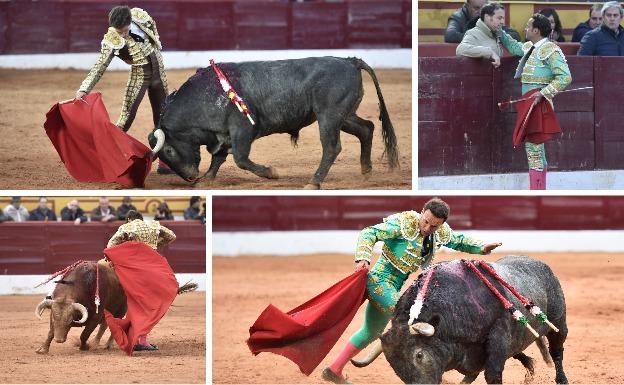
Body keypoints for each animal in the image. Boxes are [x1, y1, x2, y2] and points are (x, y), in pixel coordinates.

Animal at [149, 56, 398, 189]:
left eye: (169, 150)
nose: (191, 177)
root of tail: (350, 61)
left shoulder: (241, 130)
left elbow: (240, 159)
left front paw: (271, 172)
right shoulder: (223, 135)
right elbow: (218, 158)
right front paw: (206, 180)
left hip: (329, 116)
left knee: (332, 146)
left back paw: (314, 182)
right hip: (343, 116)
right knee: (367, 128)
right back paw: (366, 170)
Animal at [348, 256, 568, 382]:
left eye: (419, 355)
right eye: (392, 363)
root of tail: (542, 265)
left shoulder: (498, 336)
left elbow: (492, 374)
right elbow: (473, 373)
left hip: (559, 322)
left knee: (557, 351)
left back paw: (562, 379)